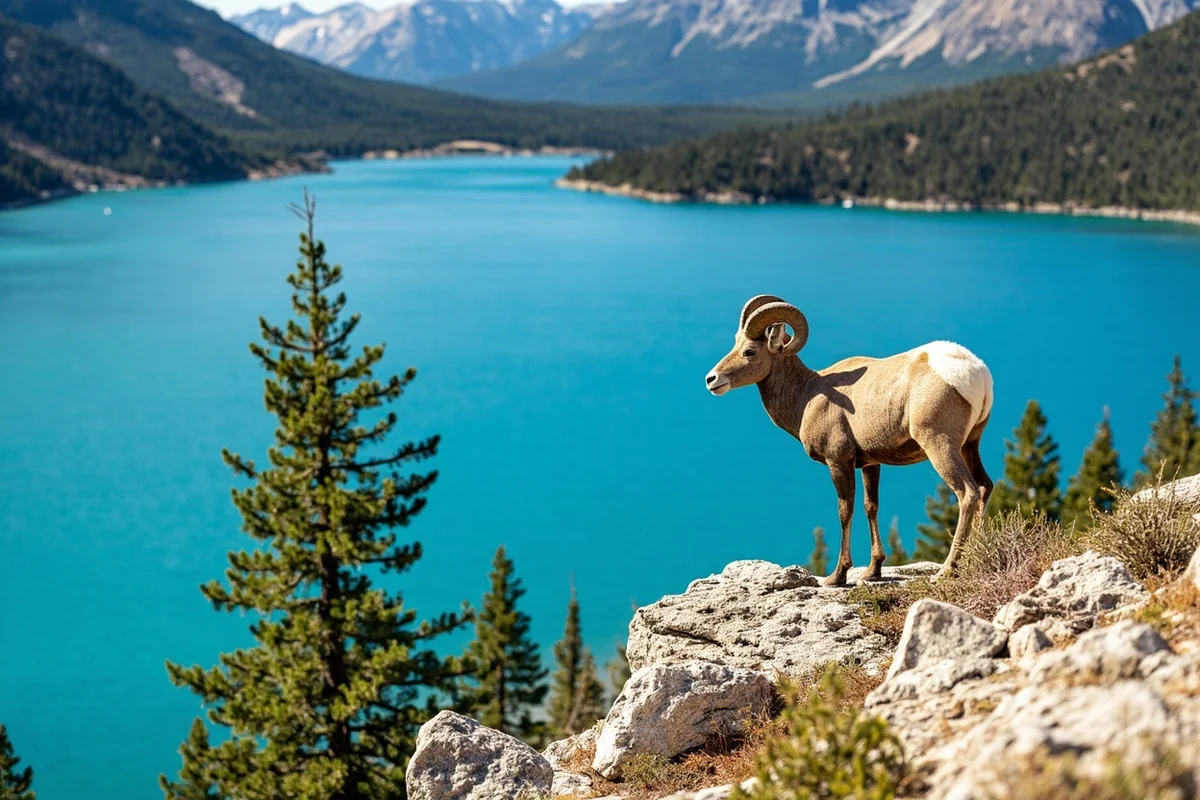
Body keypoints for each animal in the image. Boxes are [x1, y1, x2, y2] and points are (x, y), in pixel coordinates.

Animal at [704, 295, 994, 586]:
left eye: (750, 351)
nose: (711, 380)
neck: (807, 395)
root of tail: (975, 372)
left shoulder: (838, 461)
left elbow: (845, 510)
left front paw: (837, 576)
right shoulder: (870, 464)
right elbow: (870, 507)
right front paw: (873, 571)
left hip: (939, 445)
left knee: (967, 492)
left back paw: (946, 569)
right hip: (970, 445)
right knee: (984, 486)